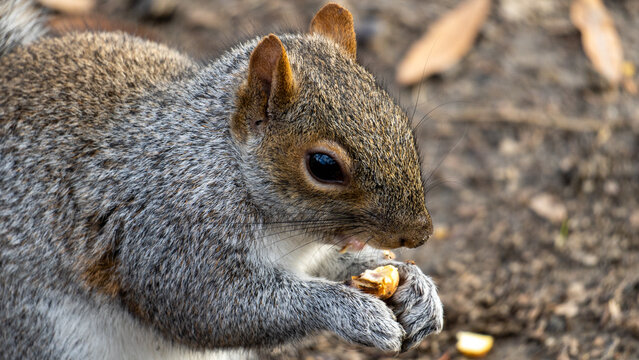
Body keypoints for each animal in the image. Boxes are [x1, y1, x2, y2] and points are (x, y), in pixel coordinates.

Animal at [1, 1, 444, 358]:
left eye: (400, 122)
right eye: (323, 165)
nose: (420, 234)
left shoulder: (309, 254)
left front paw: (414, 284)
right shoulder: (171, 233)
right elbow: (214, 307)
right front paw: (353, 312)